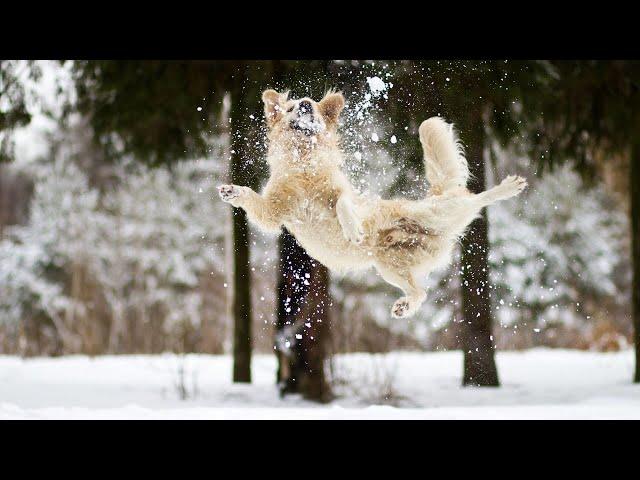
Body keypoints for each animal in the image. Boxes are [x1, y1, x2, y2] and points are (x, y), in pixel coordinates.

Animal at [218, 90, 528, 318]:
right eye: (293, 106)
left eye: (313, 106)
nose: (305, 104)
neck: (304, 162)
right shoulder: (273, 213)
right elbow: (252, 199)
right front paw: (232, 191)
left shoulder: (342, 192)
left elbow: (343, 202)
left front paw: (352, 228)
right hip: (388, 266)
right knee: (420, 292)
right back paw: (404, 307)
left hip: (433, 213)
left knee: (473, 198)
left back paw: (509, 187)